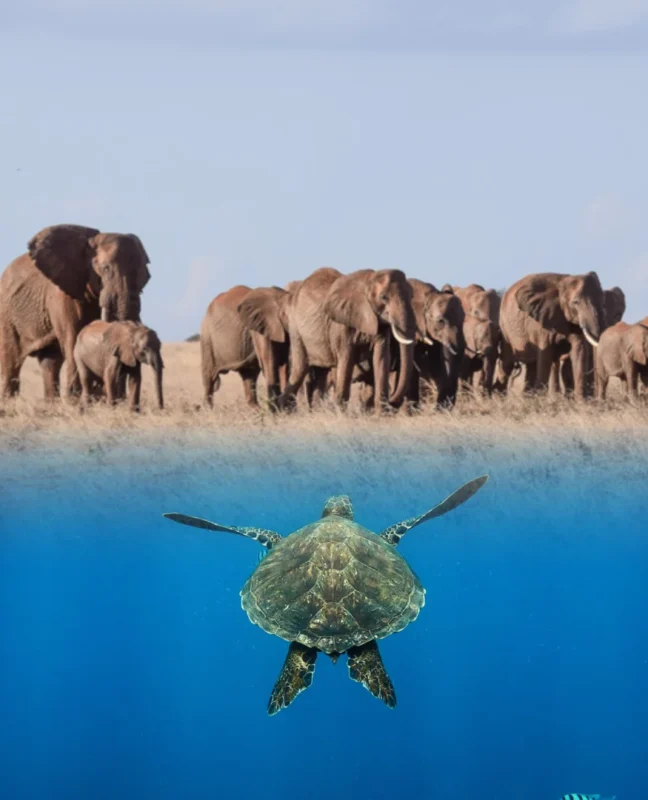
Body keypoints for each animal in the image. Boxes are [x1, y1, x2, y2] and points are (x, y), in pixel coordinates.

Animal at [0, 224, 151, 399]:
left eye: (145, 277)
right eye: (106, 268)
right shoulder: (62, 295)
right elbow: (73, 336)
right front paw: (77, 400)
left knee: (50, 362)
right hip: (7, 315)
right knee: (12, 361)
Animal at [277, 267, 416, 413]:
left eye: (412, 296)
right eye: (384, 297)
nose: (393, 400)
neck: (368, 281)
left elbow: (381, 358)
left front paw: (381, 415)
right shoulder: (340, 323)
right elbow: (347, 358)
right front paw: (339, 413)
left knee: (320, 373)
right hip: (296, 329)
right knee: (300, 368)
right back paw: (283, 410)